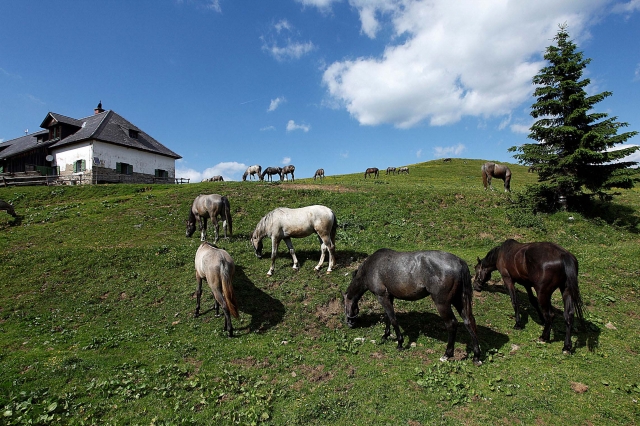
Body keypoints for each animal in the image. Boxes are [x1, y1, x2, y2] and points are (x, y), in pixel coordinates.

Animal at [342, 250, 482, 366]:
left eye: (344, 304)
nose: (349, 323)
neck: (371, 267)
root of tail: (459, 262)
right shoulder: (389, 297)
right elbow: (388, 317)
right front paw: (385, 335)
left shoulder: (382, 297)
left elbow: (393, 319)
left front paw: (400, 343)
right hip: (460, 301)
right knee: (469, 322)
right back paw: (476, 357)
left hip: (442, 304)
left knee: (452, 324)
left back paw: (447, 354)